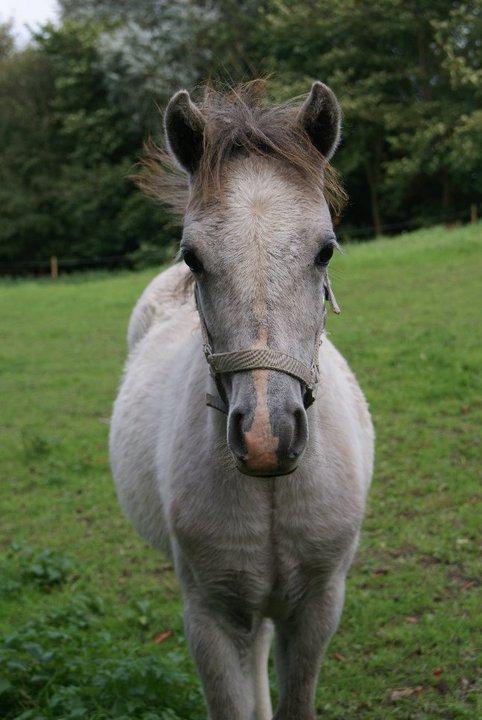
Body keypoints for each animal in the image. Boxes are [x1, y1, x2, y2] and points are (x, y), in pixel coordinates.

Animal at [110, 80, 374, 720]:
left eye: (326, 250)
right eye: (193, 257)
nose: (265, 439)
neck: (271, 488)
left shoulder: (319, 606)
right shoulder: (212, 616)